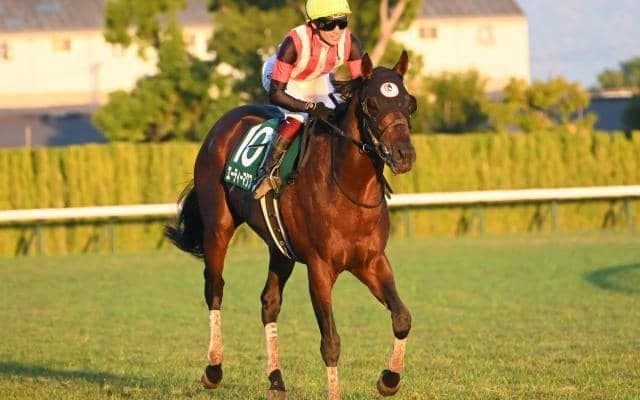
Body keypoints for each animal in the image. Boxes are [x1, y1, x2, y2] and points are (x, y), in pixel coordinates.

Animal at [165, 51, 417, 400]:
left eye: (409, 103)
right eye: (372, 105)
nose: (404, 155)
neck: (348, 187)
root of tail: (224, 122)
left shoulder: (372, 261)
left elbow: (402, 317)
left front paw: (389, 379)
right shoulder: (320, 268)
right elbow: (331, 342)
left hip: (279, 245)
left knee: (269, 302)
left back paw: (275, 379)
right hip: (218, 226)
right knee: (214, 289)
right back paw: (213, 370)